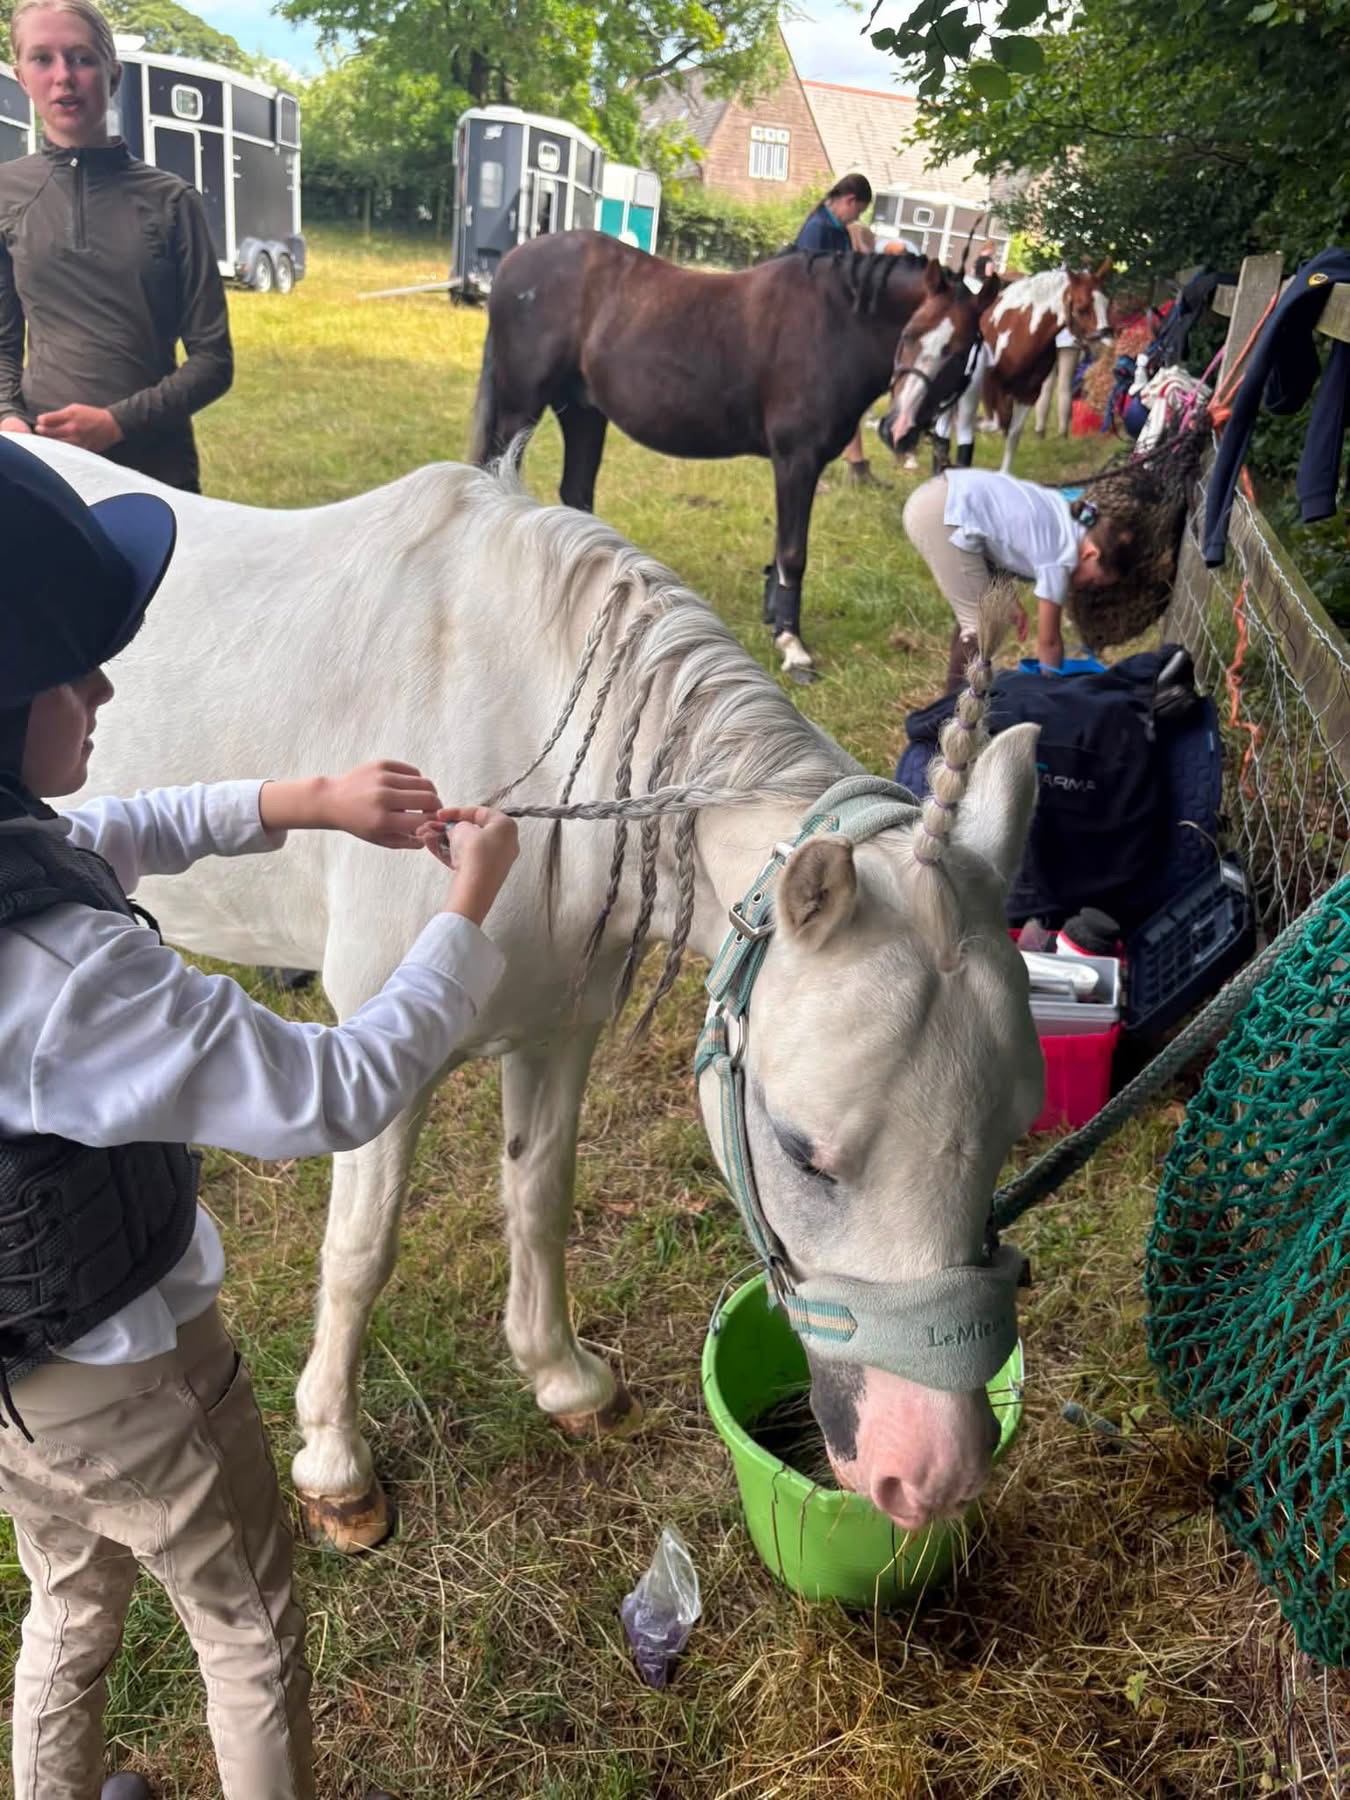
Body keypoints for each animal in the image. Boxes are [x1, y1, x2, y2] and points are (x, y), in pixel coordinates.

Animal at [27, 435, 1045, 1555]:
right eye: (799, 1153)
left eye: (1008, 1137)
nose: (934, 1474)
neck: (521, 737)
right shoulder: (380, 1061)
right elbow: (359, 1252)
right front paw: (335, 1468)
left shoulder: (557, 1033)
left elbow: (538, 1196)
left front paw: (564, 1382)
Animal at [468, 231, 996, 683]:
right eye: (910, 334)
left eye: (960, 350)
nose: (898, 429)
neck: (834, 324)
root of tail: (514, 260)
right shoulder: (796, 459)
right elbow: (792, 553)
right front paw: (792, 646)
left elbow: (782, 551)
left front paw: (776, 619)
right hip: (520, 407)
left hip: (581, 410)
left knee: (575, 493)